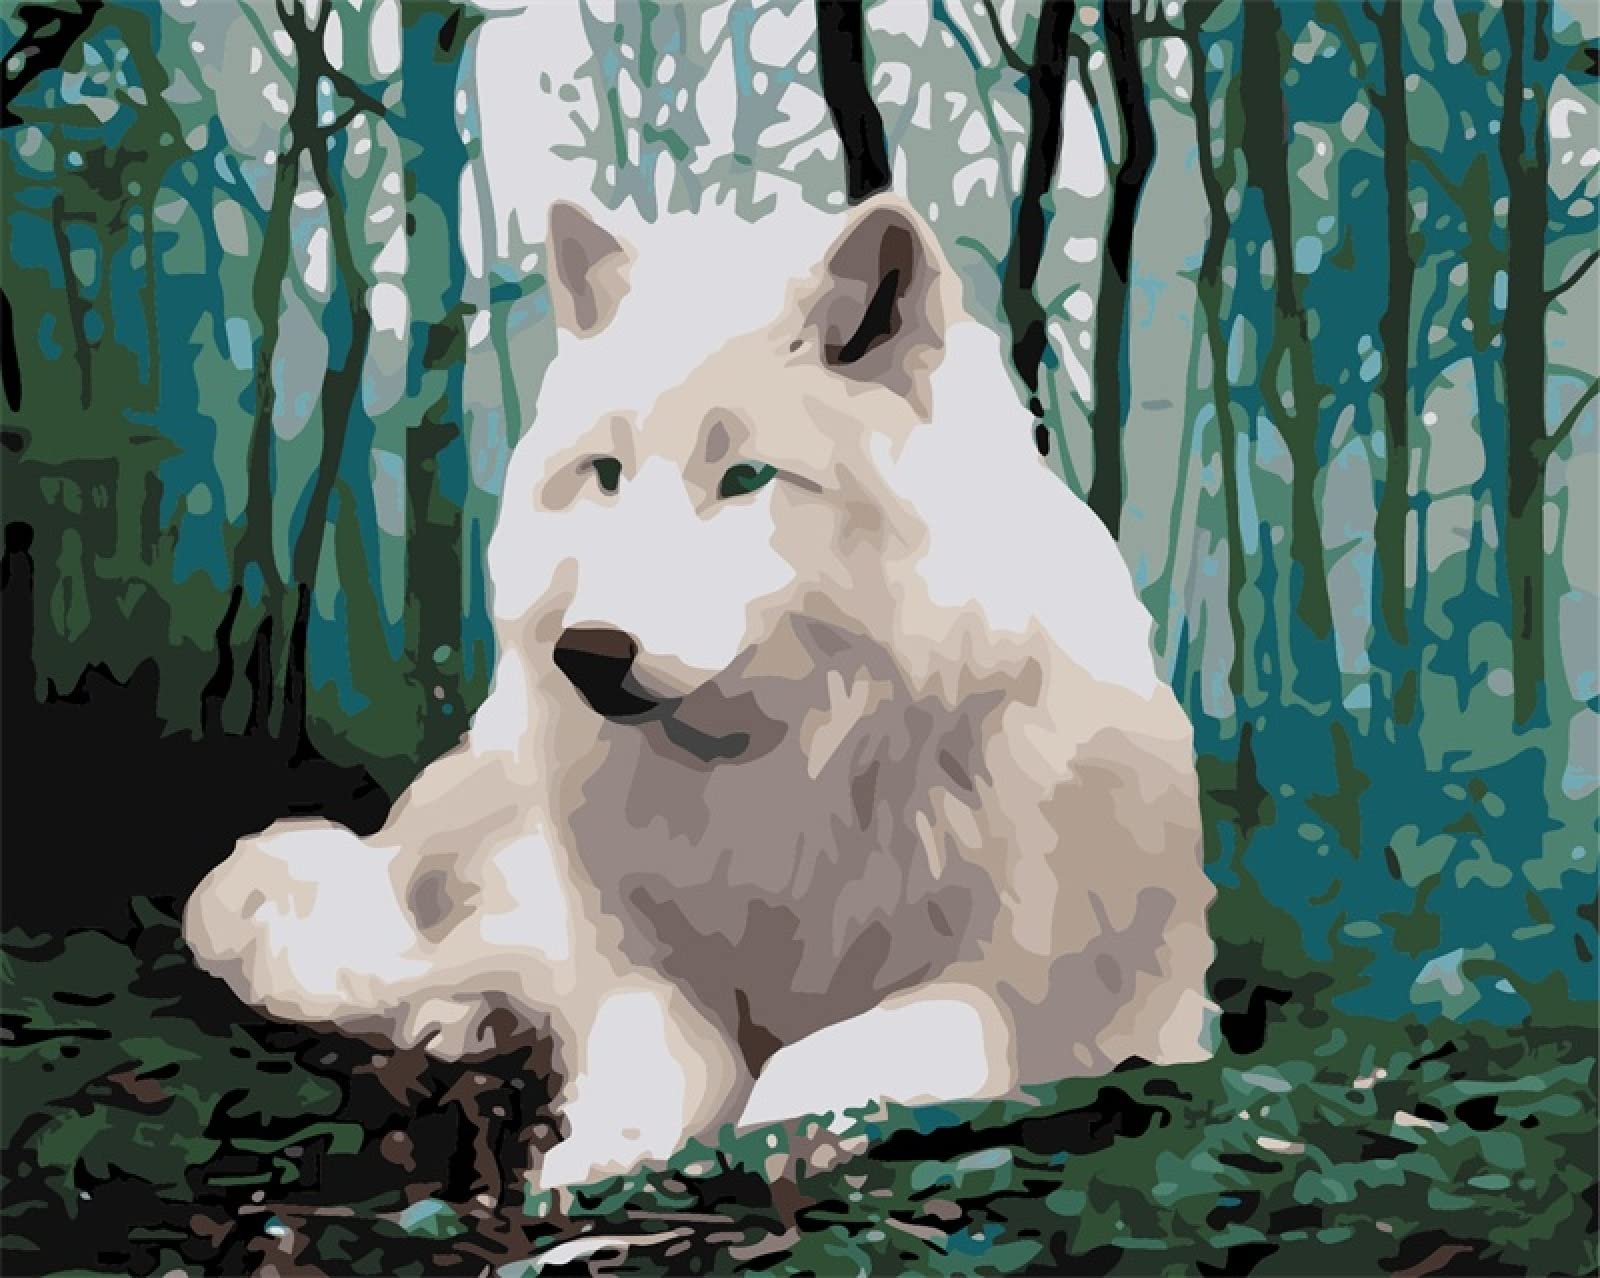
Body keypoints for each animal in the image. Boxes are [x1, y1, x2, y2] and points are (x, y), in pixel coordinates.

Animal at [184, 193, 1216, 1192]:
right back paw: (460, 1018)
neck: (781, 773)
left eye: (747, 477)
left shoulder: (1056, 1000)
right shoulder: (633, 966)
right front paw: (607, 1145)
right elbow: (664, 1048)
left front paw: (785, 1126)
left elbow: (852, 1044)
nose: (587, 653)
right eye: (605, 473)